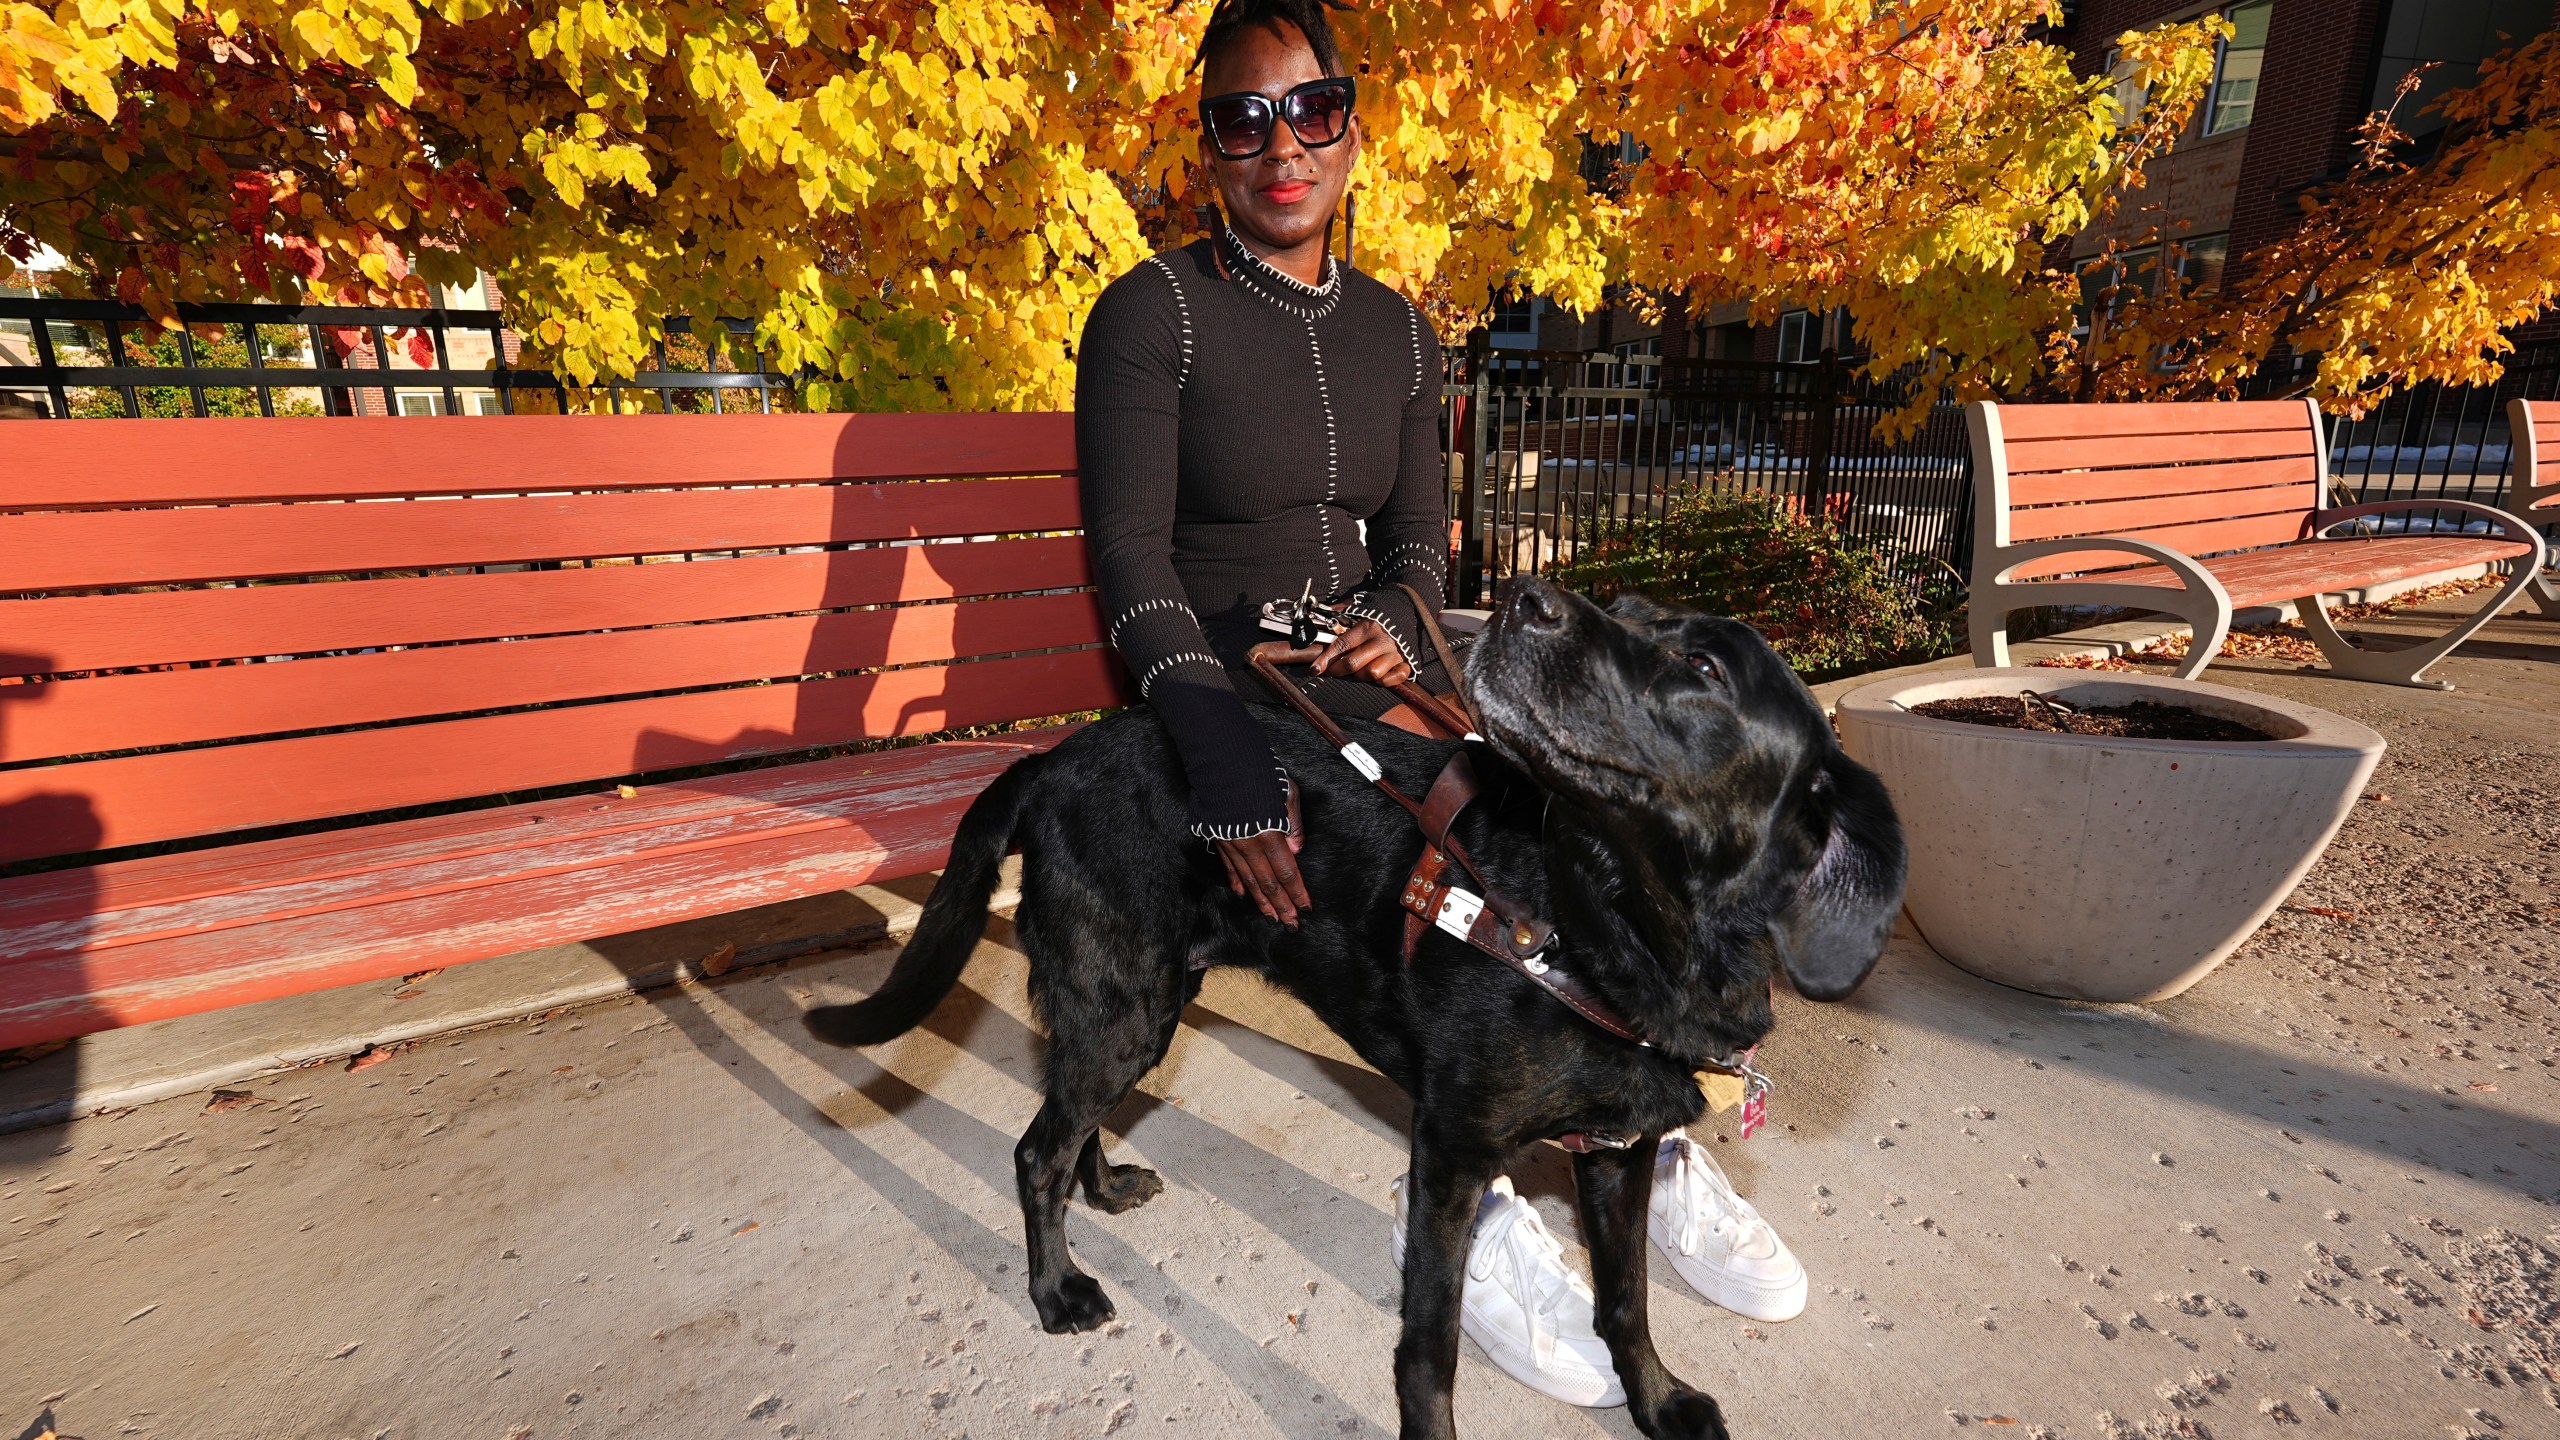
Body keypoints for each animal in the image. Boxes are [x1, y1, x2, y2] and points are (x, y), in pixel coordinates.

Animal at [798, 573, 1904, 1434]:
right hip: (1126, 1004)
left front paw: (1658, 1402)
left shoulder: (1618, 1154)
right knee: (1036, 1149)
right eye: (1624, 613)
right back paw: (1056, 1287)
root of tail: (1048, 757)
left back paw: (1101, 1188)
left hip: (1137, 1004)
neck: (1605, 925)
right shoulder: (1451, 1151)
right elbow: (1430, 1348)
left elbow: (1628, 1301)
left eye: (1706, 670)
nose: (1524, 597)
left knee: (1071, 1123)